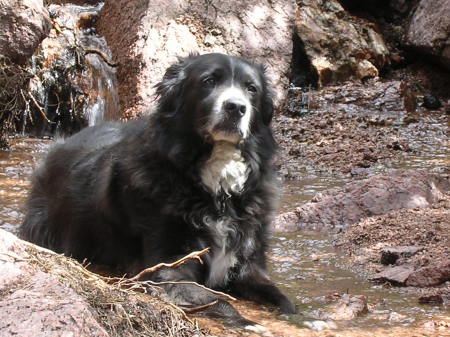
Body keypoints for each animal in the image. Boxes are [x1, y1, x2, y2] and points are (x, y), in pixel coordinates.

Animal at [20, 53, 296, 326]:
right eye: (209, 81)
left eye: (252, 89)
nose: (236, 107)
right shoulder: (168, 269)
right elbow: (218, 300)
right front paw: (250, 323)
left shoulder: (248, 262)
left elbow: (283, 299)